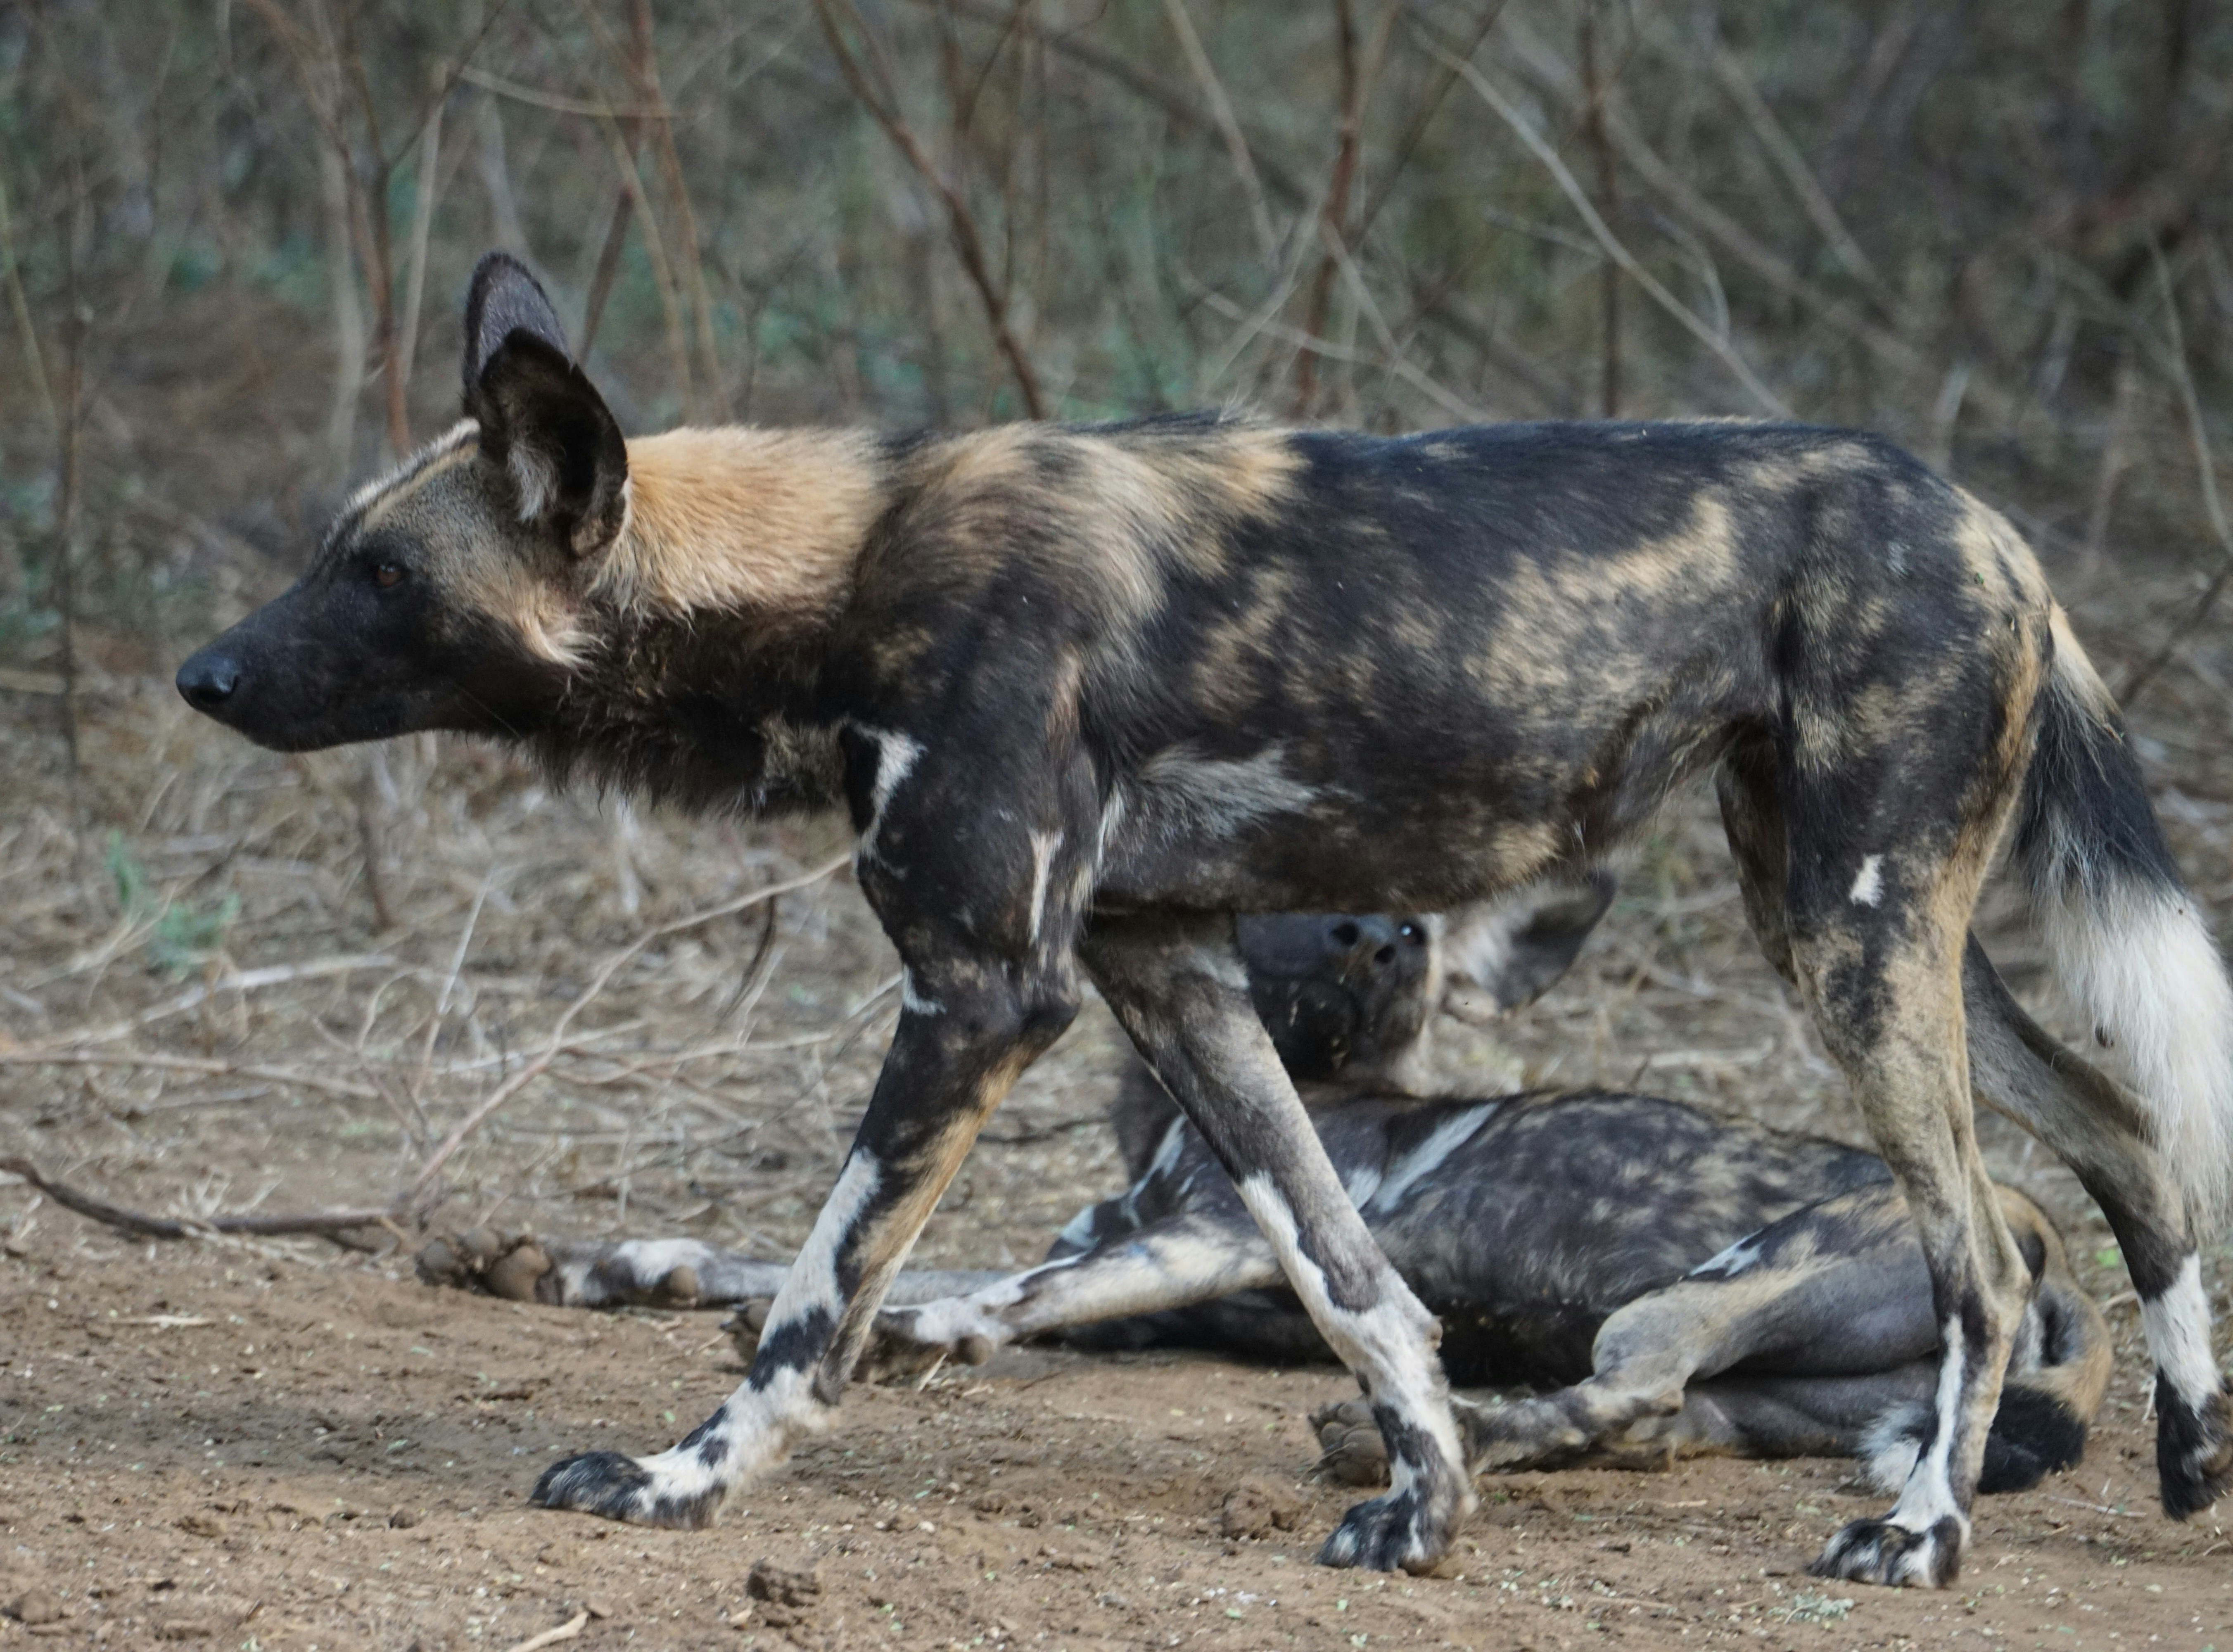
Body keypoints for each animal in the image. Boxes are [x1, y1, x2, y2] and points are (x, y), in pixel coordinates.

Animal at [177, 251, 2233, 1583]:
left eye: (376, 575)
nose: (198, 673)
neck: (835, 576)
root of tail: (1987, 524)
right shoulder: (1167, 976)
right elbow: (1356, 1284)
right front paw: (1422, 1509)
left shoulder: (979, 995)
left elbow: (817, 1301)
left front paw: (682, 1487)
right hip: (1856, 930)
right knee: (2126, 1136)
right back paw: (2188, 1452)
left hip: (1849, 947)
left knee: (1980, 1255)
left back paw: (1919, 1532)